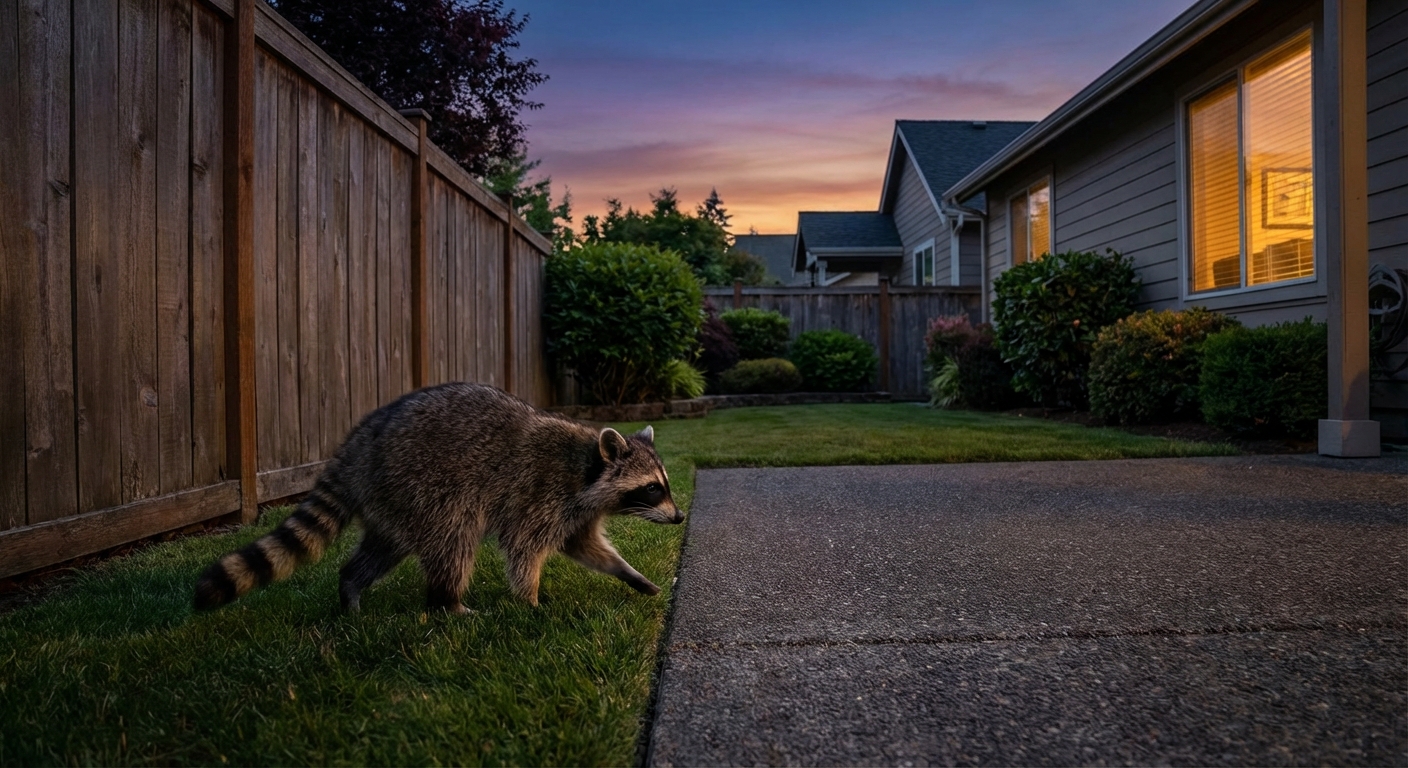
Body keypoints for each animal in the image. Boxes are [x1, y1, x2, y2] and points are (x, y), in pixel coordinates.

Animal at [193, 382, 682, 614]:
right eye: (652, 488)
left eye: (665, 484)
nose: (679, 518)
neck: (588, 467)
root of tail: (360, 444)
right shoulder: (542, 495)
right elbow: (524, 549)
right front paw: (530, 600)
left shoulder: (576, 511)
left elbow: (588, 548)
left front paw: (629, 574)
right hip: (425, 485)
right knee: (454, 539)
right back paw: (448, 602)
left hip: (391, 501)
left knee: (383, 548)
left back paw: (351, 587)